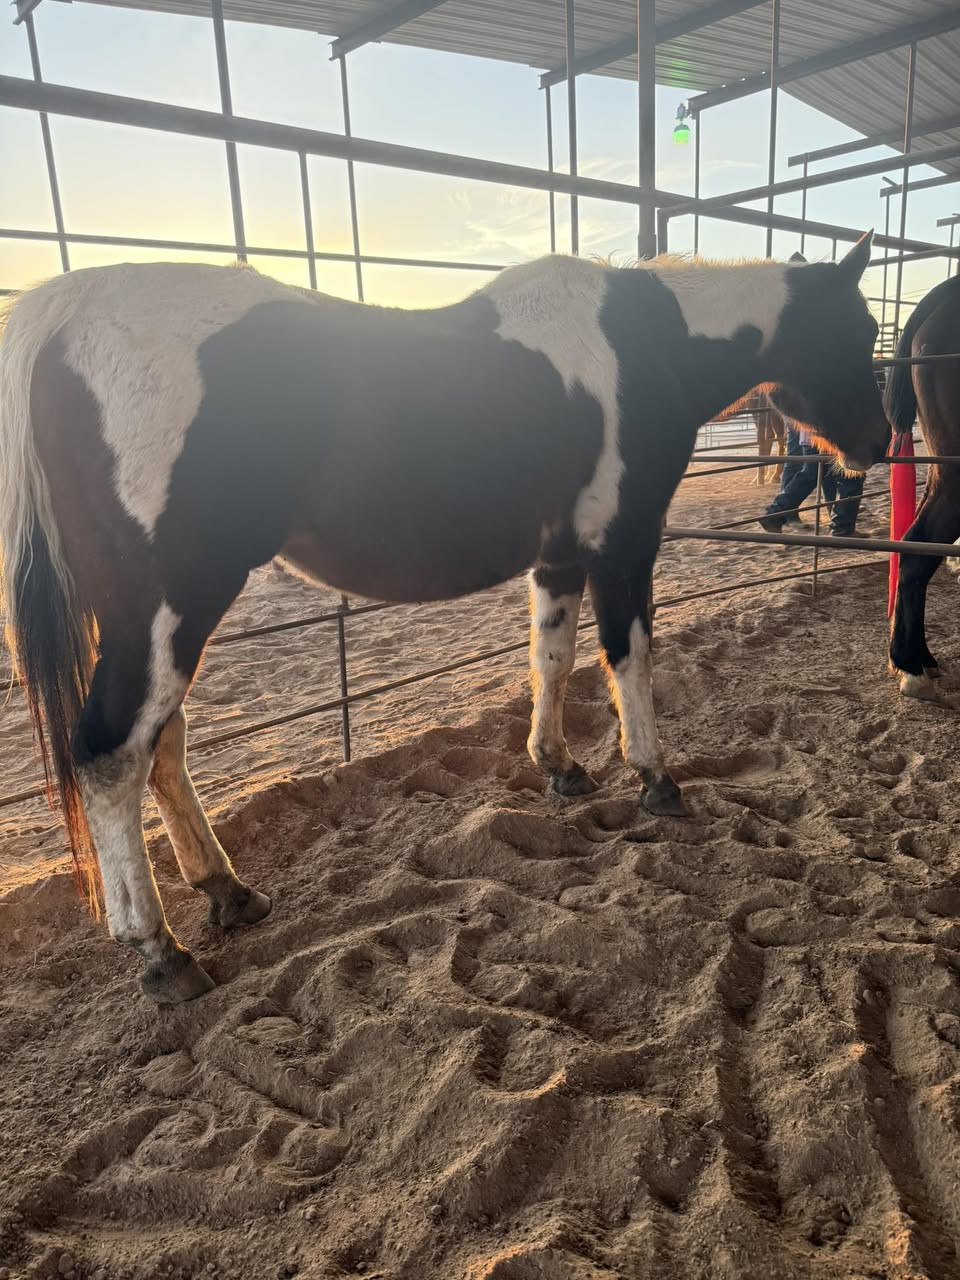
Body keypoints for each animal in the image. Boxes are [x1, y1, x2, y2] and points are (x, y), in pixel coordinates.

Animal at [0, 235, 889, 1004]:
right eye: (863, 329)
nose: (878, 443)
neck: (648, 344)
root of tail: (62, 313)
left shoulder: (560, 558)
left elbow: (552, 658)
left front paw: (559, 765)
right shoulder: (624, 545)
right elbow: (627, 657)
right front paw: (655, 777)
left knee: (164, 743)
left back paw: (227, 890)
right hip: (171, 602)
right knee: (114, 751)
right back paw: (161, 952)